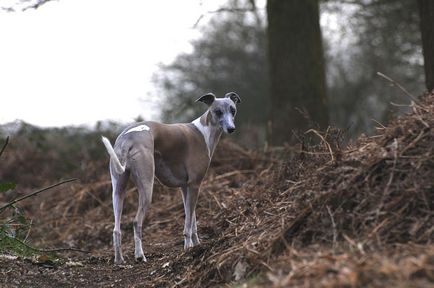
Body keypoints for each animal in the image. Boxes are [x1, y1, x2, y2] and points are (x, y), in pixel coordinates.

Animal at [101, 91, 241, 264]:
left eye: (233, 110)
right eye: (218, 111)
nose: (231, 129)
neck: (203, 131)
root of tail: (128, 139)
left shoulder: (186, 187)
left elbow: (192, 219)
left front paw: (196, 244)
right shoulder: (195, 184)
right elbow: (188, 224)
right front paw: (188, 248)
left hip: (118, 190)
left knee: (116, 229)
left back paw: (119, 260)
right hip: (147, 188)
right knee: (136, 222)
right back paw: (140, 255)